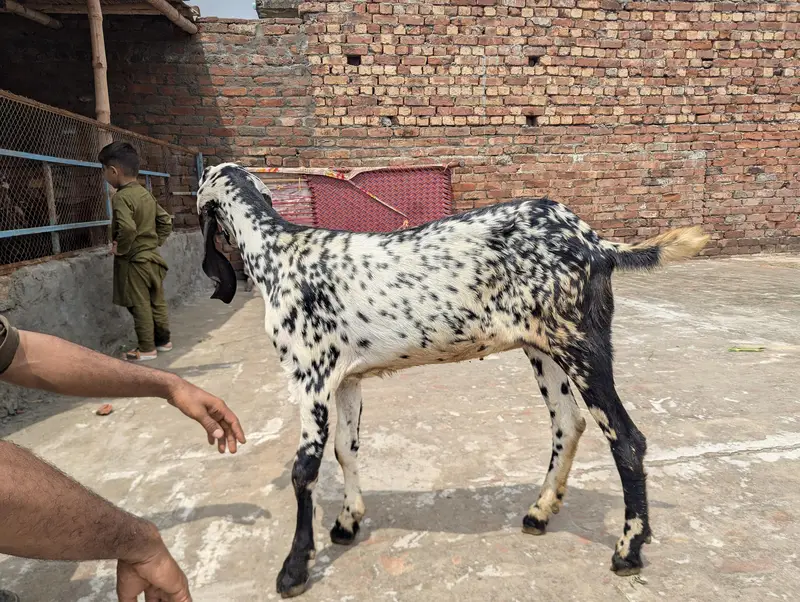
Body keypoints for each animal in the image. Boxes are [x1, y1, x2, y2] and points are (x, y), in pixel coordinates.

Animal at [197, 163, 709, 598]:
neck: (278, 252)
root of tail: (596, 243)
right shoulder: (346, 380)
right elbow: (346, 449)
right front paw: (346, 522)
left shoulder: (311, 376)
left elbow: (304, 469)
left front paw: (294, 567)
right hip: (544, 348)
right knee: (568, 423)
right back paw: (540, 512)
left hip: (582, 343)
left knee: (626, 438)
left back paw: (627, 550)